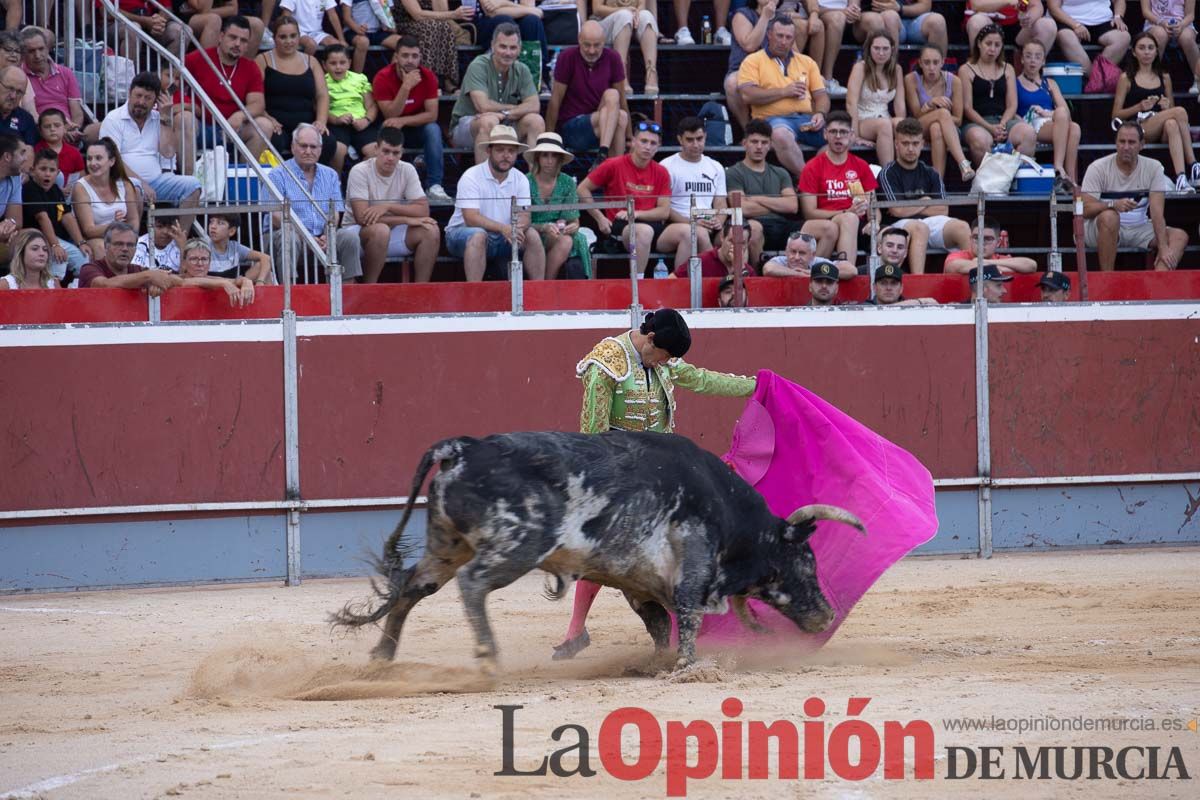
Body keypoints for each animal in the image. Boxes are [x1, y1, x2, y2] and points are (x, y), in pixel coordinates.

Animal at [333, 429, 868, 671]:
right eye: (807, 560)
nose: (826, 614)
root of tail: (463, 448)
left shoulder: (638, 583)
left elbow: (659, 625)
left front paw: (657, 662)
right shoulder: (694, 560)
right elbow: (688, 616)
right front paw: (687, 667)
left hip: (446, 545)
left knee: (412, 586)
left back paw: (382, 655)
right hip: (516, 546)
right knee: (473, 585)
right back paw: (487, 655)